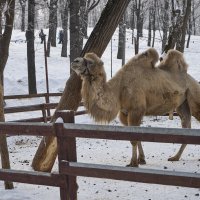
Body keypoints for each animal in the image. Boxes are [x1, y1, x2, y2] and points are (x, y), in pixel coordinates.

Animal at [71, 48, 200, 167]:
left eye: (90, 62)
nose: (74, 61)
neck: (119, 89)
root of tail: (194, 81)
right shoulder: (124, 113)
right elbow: (137, 137)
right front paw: (141, 160)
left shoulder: (136, 110)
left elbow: (133, 138)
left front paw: (133, 163)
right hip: (182, 105)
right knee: (187, 126)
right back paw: (175, 157)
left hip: (194, 97)